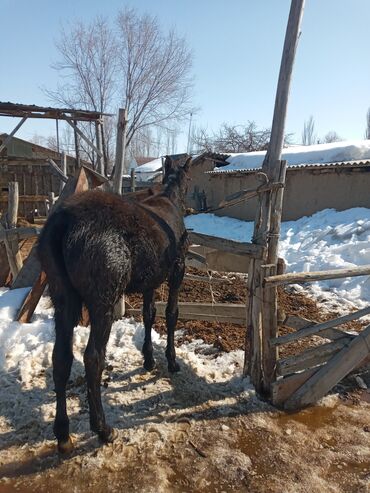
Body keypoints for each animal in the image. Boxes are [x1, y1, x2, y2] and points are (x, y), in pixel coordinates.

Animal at [37, 157, 191, 450]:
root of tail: (62, 221)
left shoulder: (150, 281)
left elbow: (149, 315)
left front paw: (148, 359)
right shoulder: (177, 271)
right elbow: (171, 313)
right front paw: (171, 360)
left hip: (63, 300)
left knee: (61, 358)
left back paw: (62, 433)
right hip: (102, 303)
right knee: (93, 358)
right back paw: (102, 428)